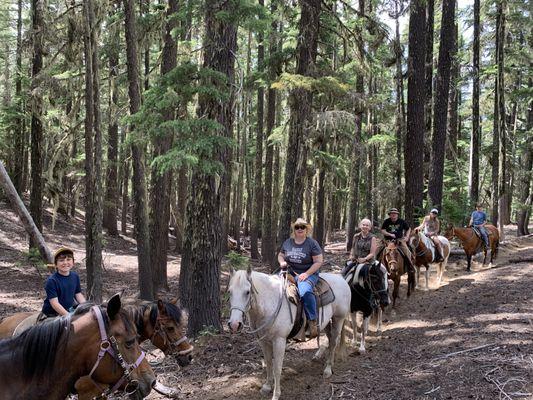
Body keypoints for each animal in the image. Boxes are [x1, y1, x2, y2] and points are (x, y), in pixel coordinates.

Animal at [227, 266, 352, 400]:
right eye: (230, 292)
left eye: (247, 292)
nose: (234, 325)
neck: (270, 302)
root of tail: (340, 277)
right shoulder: (264, 341)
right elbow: (269, 364)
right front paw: (267, 386)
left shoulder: (279, 341)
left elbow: (277, 368)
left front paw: (276, 394)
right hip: (327, 322)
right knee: (330, 338)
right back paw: (329, 362)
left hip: (338, 319)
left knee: (334, 342)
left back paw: (328, 370)